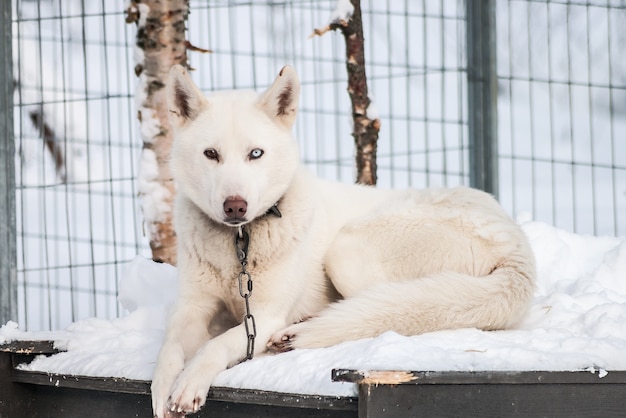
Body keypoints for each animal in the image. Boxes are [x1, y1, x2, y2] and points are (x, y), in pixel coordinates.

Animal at [150, 65, 532, 418]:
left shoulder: (263, 318)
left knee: (381, 313)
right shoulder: (193, 307)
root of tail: (514, 240)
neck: (239, 244)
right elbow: (168, 349)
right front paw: (163, 388)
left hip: (346, 253)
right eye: (210, 154)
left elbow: (215, 346)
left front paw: (188, 384)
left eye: (255, 154)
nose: (235, 206)